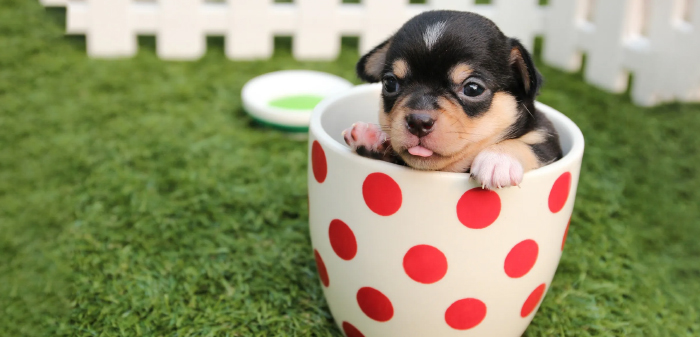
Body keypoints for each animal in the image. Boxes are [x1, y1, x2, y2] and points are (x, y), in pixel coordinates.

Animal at [342, 10, 560, 189]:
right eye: (389, 83)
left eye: (473, 89)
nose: (418, 122)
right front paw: (370, 136)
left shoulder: (548, 142)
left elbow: (530, 145)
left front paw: (498, 159)